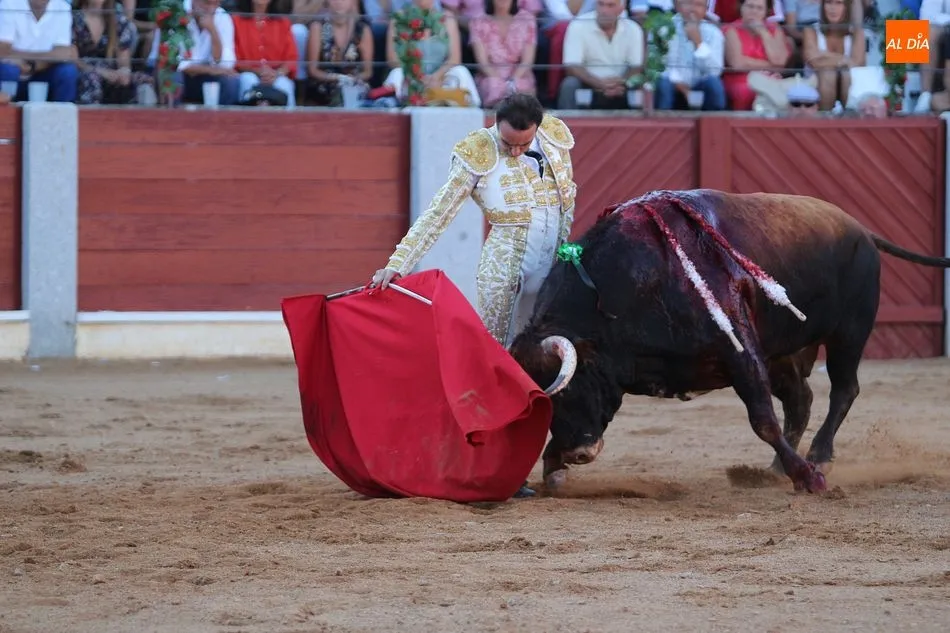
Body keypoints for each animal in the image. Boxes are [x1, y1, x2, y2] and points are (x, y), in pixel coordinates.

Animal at [509, 189, 950, 495]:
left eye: (570, 388)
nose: (577, 453)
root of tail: (862, 230)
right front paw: (551, 469)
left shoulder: (739, 349)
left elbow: (762, 419)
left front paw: (808, 480)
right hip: (784, 352)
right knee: (801, 399)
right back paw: (774, 469)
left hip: (849, 334)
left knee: (843, 390)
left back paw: (817, 460)